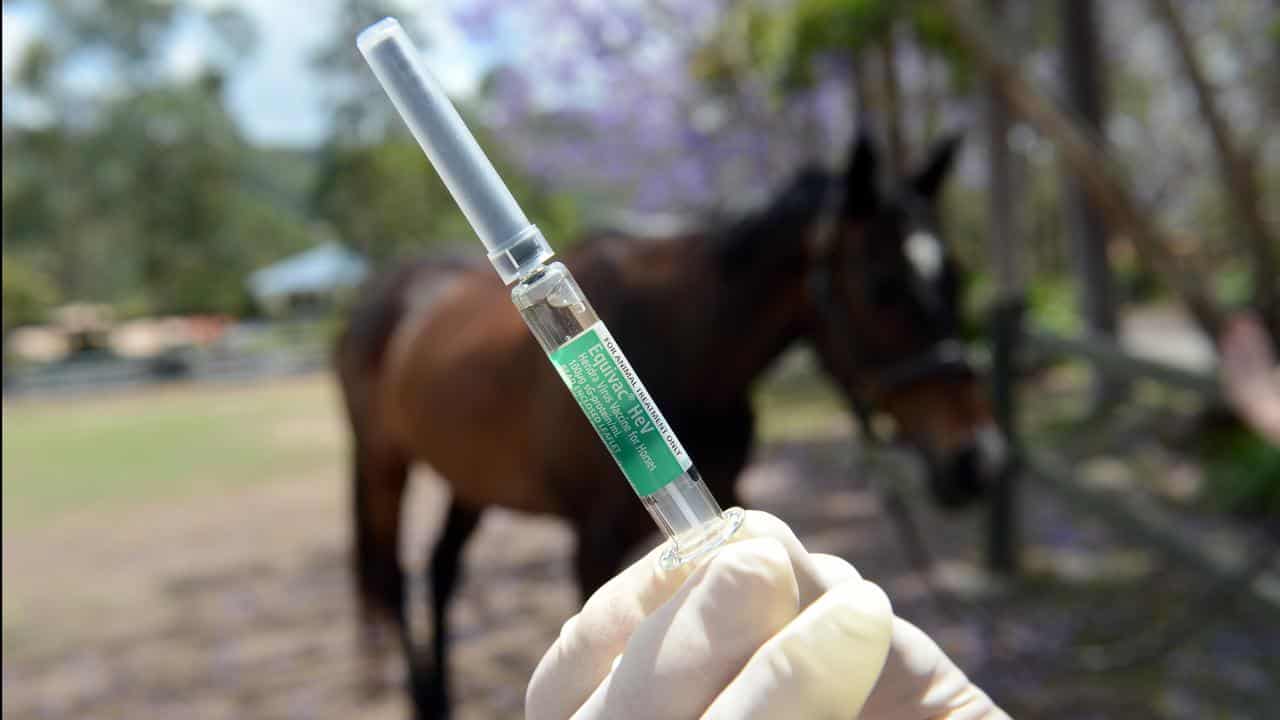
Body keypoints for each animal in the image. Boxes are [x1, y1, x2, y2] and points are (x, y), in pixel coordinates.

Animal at [335, 133, 1003, 712]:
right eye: (882, 286)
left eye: (958, 276)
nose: (979, 458)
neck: (687, 345)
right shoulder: (594, 539)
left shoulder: (726, 489)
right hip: (381, 462)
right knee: (393, 577)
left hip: (469, 478)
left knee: (441, 570)